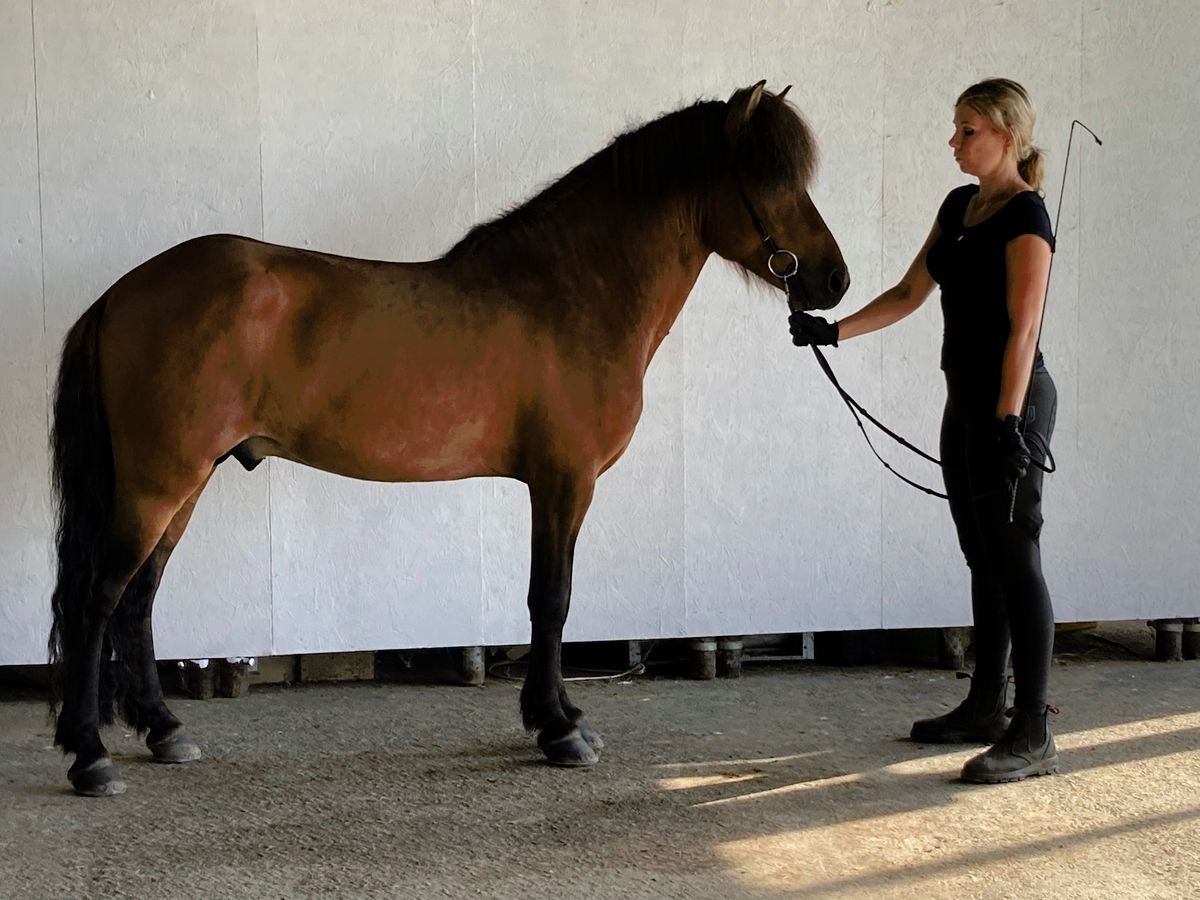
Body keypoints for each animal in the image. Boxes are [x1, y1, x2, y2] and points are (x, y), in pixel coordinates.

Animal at [47, 81, 849, 796]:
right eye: (767, 178)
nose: (834, 281)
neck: (567, 297)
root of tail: (120, 293)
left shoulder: (558, 486)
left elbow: (551, 598)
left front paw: (562, 716)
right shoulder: (565, 481)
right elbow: (551, 599)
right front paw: (558, 731)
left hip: (184, 480)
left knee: (139, 598)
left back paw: (165, 731)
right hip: (160, 479)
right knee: (98, 598)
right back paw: (91, 758)